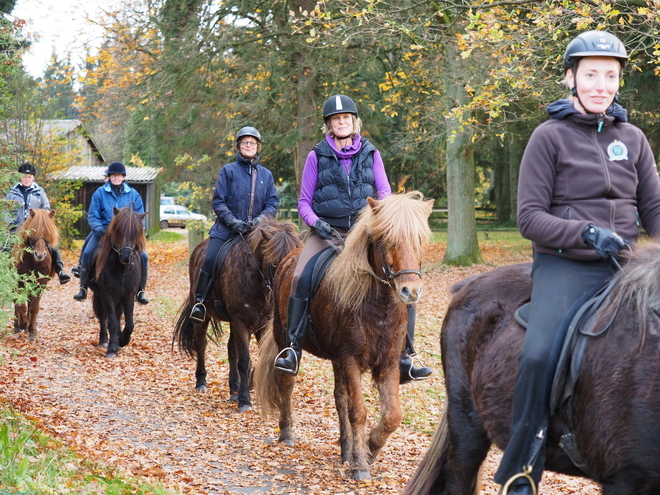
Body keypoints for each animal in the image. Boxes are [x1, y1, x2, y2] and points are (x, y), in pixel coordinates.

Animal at [11, 208, 60, 340]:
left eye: (48, 234)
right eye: (33, 232)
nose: (40, 255)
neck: (33, 261)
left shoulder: (40, 283)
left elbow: (34, 306)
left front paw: (32, 330)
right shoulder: (19, 281)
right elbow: (20, 305)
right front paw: (22, 324)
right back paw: (17, 326)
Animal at [87, 207, 147, 358]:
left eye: (136, 232)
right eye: (118, 231)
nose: (126, 256)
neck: (122, 269)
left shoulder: (129, 295)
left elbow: (129, 323)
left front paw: (122, 340)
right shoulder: (108, 295)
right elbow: (112, 322)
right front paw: (112, 349)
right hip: (100, 295)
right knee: (103, 316)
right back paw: (104, 340)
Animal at [173, 221, 302, 414]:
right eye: (274, 262)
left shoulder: (261, 325)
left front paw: (246, 388)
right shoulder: (241, 322)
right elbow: (244, 360)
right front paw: (244, 401)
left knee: (231, 349)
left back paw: (233, 388)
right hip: (204, 316)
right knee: (201, 345)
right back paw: (201, 382)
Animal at [255, 193, 436, 480]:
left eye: (419, 239)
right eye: (387, 238)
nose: (411, 291)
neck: (379, 306)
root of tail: (287, 260)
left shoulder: (388, 362)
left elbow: (392, 415)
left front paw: (370, 448)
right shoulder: (351, 359)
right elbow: (358, 411)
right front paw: (361, 465)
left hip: (337, 359)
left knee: (340, 397)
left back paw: (345, 449)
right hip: (287, 339)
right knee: (287, 383)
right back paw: (287, 433)